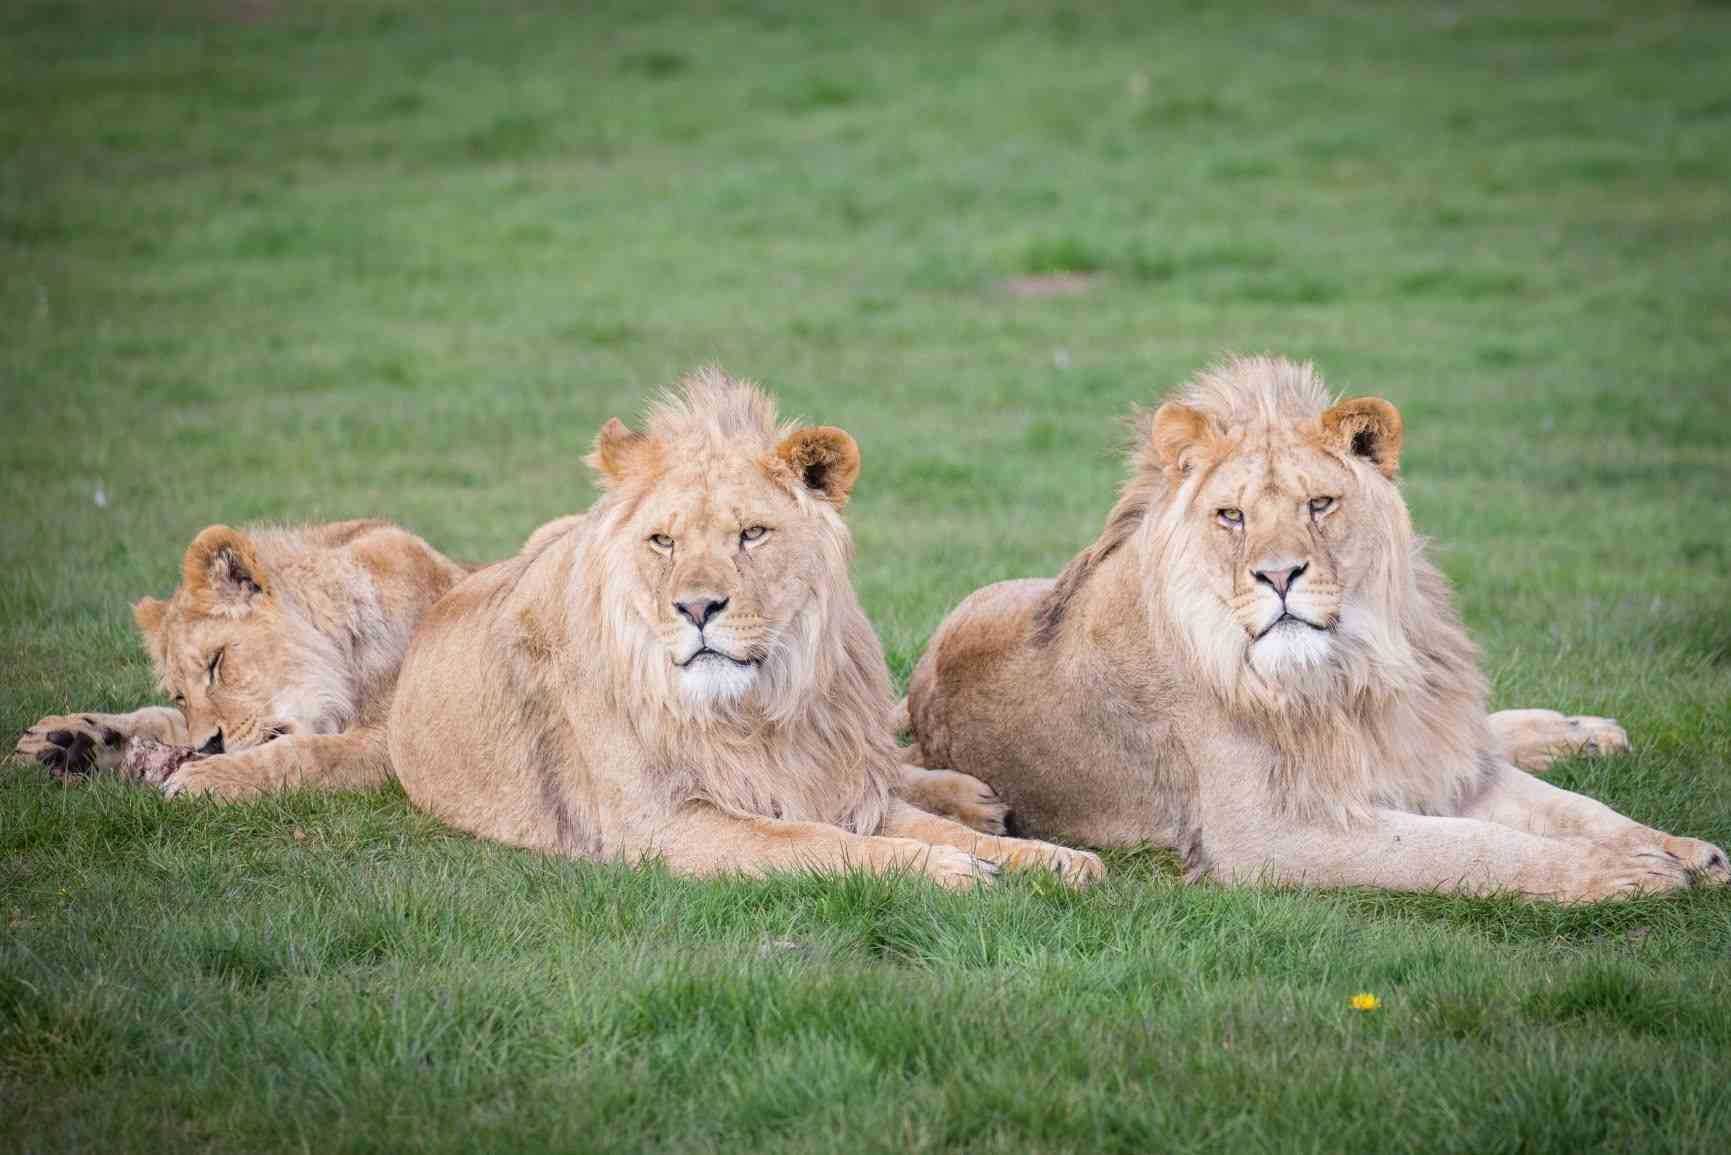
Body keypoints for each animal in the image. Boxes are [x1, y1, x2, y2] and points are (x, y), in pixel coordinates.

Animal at [16, 519, 474, 800]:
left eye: (217, 662)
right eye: (180, 695)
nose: (210, 745)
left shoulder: (406, 744)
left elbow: (307, 753)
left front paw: (204, 778)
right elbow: (162, 720)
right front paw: (65, 739)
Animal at [387, 368, 1100, 886]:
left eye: (752, 534)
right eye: (663, 541)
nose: (698, 608)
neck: (754, 712)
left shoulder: (840, 783)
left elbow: (923, 823)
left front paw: (1052, 859)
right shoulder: (660, 826)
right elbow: (814, 842)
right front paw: (955, 872)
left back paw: (974, 796)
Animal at [913, 354, 1724, 900]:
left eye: (1320, 504)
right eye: (1231, 515)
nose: (1278, 577)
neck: (1351, 672)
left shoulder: (1432, 759)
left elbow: (1578, 809)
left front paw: (1685, 850)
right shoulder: (1270, 834)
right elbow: (1470, 848)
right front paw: (1625, 871)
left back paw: (1585, 731)